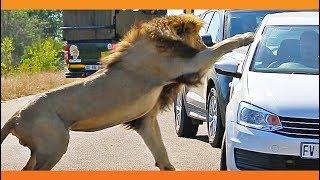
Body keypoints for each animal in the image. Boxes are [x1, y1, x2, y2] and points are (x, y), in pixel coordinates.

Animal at [0, 14, 255, 170]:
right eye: (199, 37)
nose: (205, 41)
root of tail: (16, 116)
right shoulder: (188, 64)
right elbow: (221, 47)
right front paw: (247, 36)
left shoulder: (145, 120)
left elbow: (162, 154)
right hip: (54, 145)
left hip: (41, 150)